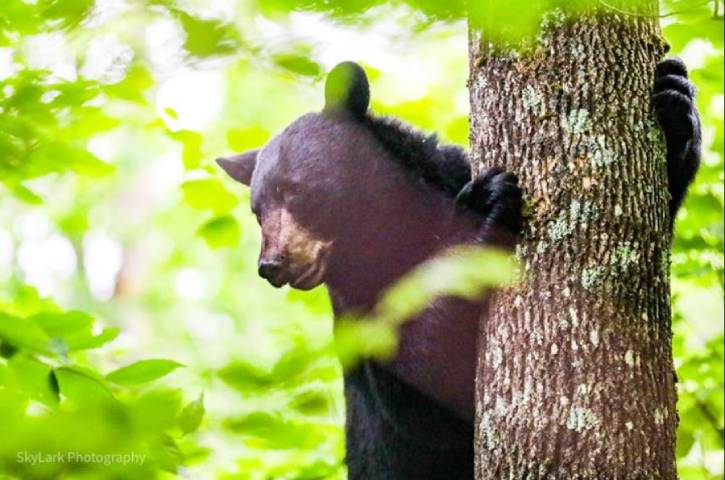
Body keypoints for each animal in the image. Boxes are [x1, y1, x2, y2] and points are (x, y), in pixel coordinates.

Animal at [218, 58, 700, 478]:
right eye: (258, 211)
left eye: (295, 192)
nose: (272, 265)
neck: (397, 227)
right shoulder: (361, 308)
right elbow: (422, 386)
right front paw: (485, 205)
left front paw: (675, 101)